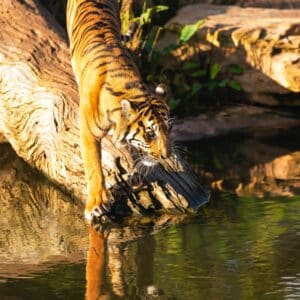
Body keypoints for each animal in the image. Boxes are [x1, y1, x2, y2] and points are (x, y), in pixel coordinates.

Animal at [67, 0, 172, 220]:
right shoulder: (88, 132)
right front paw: (96, 203)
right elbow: (93, 165)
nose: (166, 156)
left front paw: (136, 172)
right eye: (150, 134)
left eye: (169, 129)